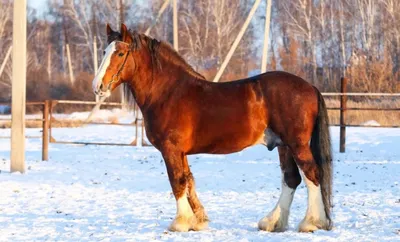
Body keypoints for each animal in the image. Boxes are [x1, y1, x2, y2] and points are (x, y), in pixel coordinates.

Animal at [94, 24, 332, 233]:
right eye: (104, 51)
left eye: (120, 53)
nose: (98, 87)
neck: (168, 92)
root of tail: (310, 86)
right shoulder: (181, 152)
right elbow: (188, 180)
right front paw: (198, 220)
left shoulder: (171, 150)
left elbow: (177, 181)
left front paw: (180, 222)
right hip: (284, 145)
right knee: (291, 179)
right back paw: (273, 222)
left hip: (297, 144)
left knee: (312, 174)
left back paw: (311, 222)